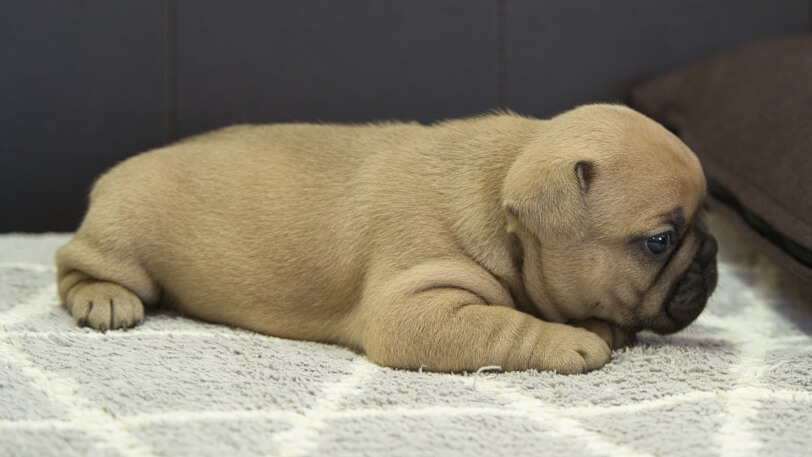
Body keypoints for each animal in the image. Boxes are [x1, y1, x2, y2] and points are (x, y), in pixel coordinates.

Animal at [55, 105, 716, 372]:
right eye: (660, 241)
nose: (712, 255)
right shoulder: (415, 307)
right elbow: (505, 327)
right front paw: (575, 341)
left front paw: (597, 325)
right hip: (123, 241)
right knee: (72, 263)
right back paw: (104, 298)